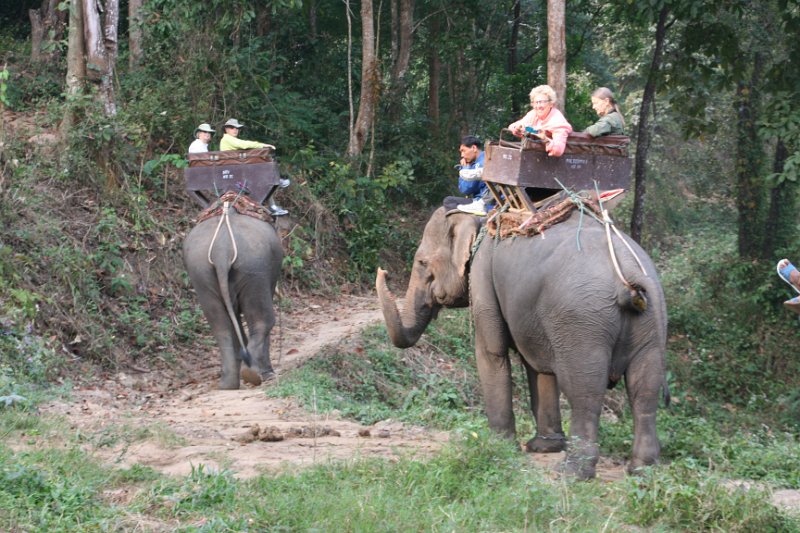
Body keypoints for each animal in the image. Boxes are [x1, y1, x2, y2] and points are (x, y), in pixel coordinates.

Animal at [183, 202, 282, 388]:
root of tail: (222, 249)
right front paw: (268, 373)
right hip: (253, 267)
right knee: (262, 319)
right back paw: (253, 374)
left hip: (200, 272)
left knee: (220, 325)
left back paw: (228, 384)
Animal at [376, 205, 668, 478]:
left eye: (422, 262)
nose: (384, 271)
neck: (481, 218)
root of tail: (629, 274)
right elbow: (538, 367)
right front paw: (543, 447)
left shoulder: (482, 276)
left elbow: (491, 351)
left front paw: (499, 447)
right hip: (651, 321)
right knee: (645, 390)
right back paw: (642, 469)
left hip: (583, 323)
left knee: (584, 392)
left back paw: (572, 473)